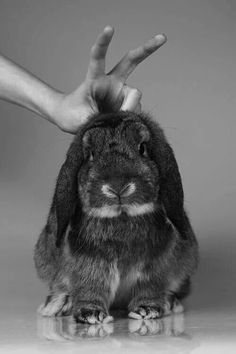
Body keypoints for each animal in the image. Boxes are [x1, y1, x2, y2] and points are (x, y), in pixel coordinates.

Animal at [34, 110, 198, 324]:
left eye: (142, 148)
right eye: (91, 154)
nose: (118, 186)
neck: (122, 217)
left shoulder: (154, 265)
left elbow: (150, 286)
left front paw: (147, 310)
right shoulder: (89, 263)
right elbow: (90, 286)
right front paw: (91, 314)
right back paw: (58, 305)